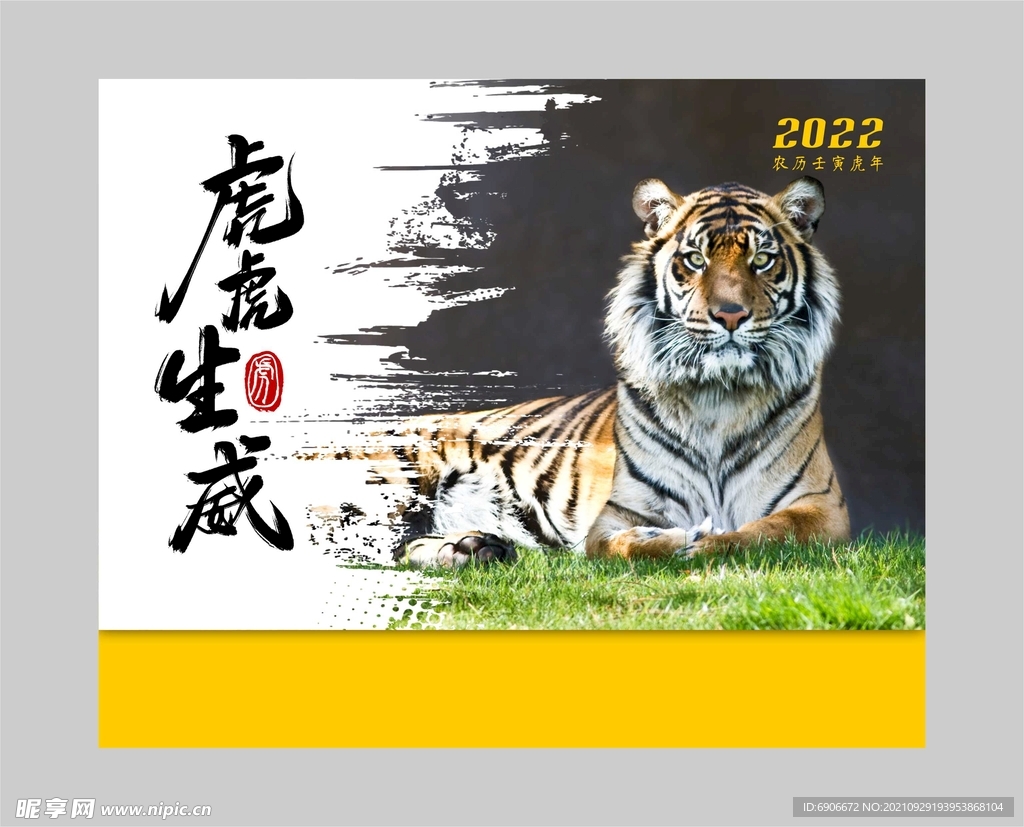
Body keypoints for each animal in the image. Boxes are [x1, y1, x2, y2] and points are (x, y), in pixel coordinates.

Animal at [304, 175, 850, 567]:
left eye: (763, 260)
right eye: (694, 260)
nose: (731, 315)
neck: (719, 395)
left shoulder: (823, 511)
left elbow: (767, 532)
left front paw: (712, 541)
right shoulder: (617, 513)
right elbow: (626, 545)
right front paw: (678, 540)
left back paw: (473, 548)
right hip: (392, 475)